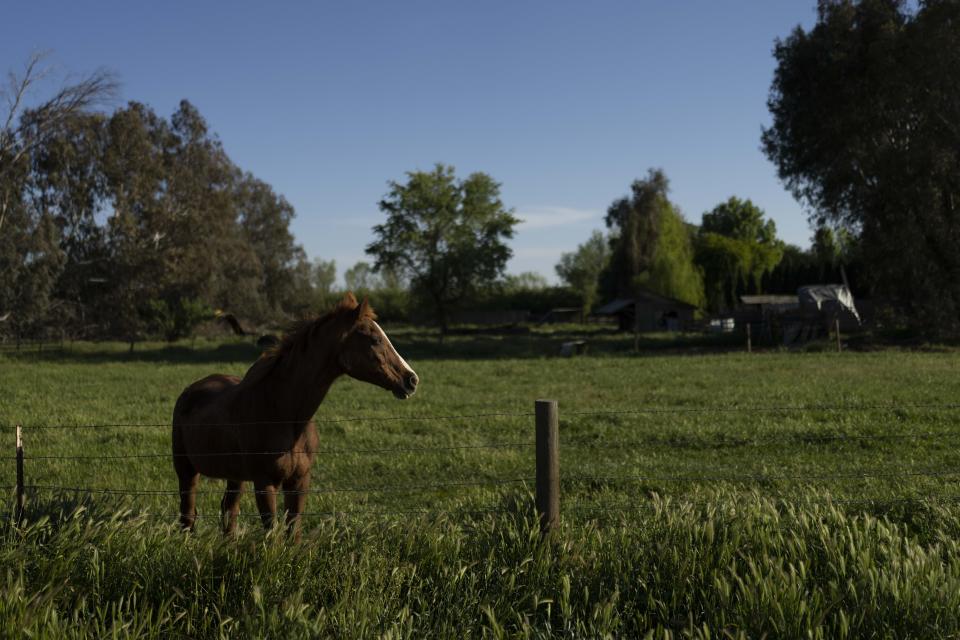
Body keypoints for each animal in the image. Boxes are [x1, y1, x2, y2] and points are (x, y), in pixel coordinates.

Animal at [172, 294, 416, 536]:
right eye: (375, 339)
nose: (411, 379)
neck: (285, 414)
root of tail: (191, 390)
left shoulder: (299, 481)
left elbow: (293, 529)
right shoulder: (265, 483)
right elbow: (272, 532)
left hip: (235, 477)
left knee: (228, 510)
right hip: (186, 470)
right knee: (188, 514)